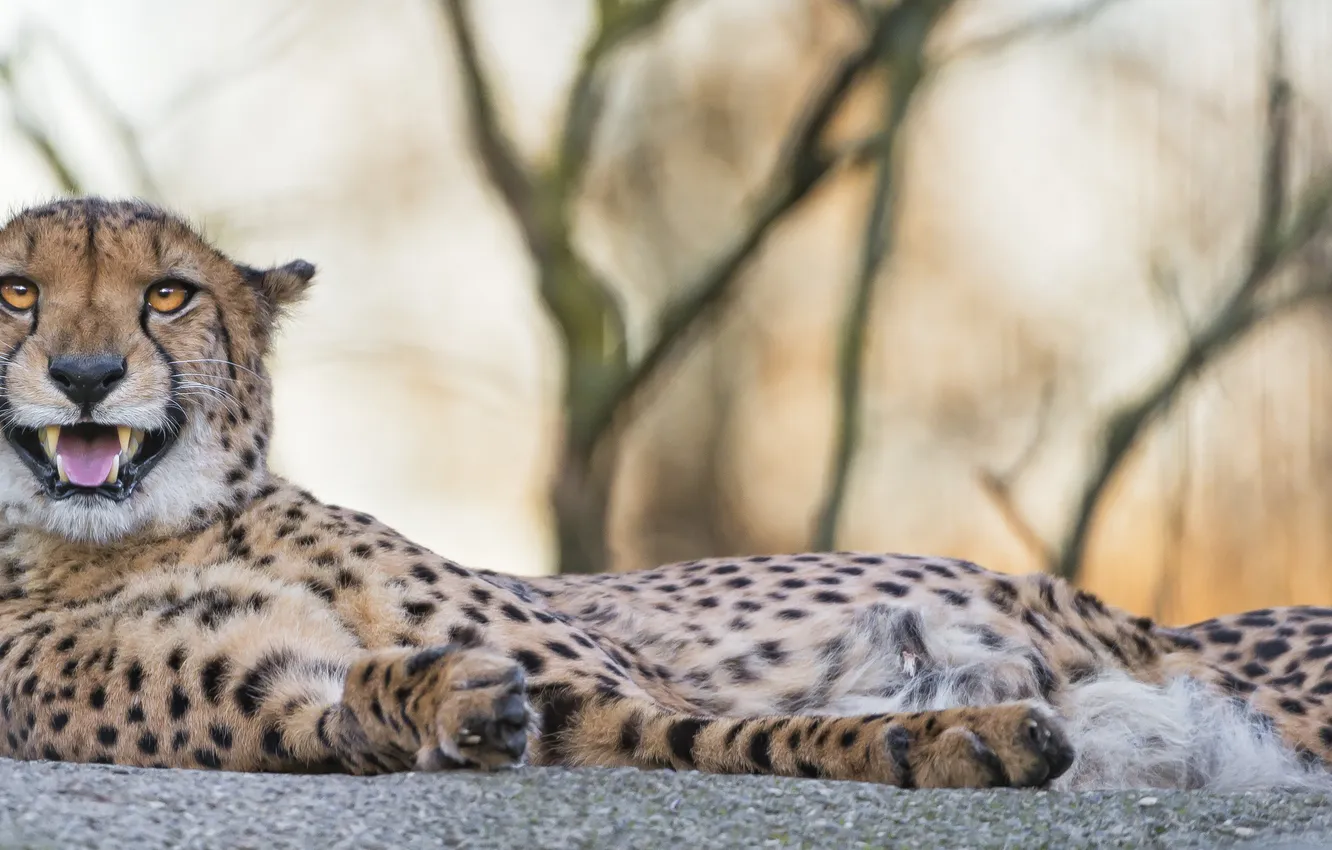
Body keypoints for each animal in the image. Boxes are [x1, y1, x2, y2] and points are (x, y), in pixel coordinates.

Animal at [0, 197, 1328, 792]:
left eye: (167, 294)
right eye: (18, 290)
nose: (86, 374)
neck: (123, 539)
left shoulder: (606, 688)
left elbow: (739, 725)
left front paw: (955, 729)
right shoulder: (286, 707)